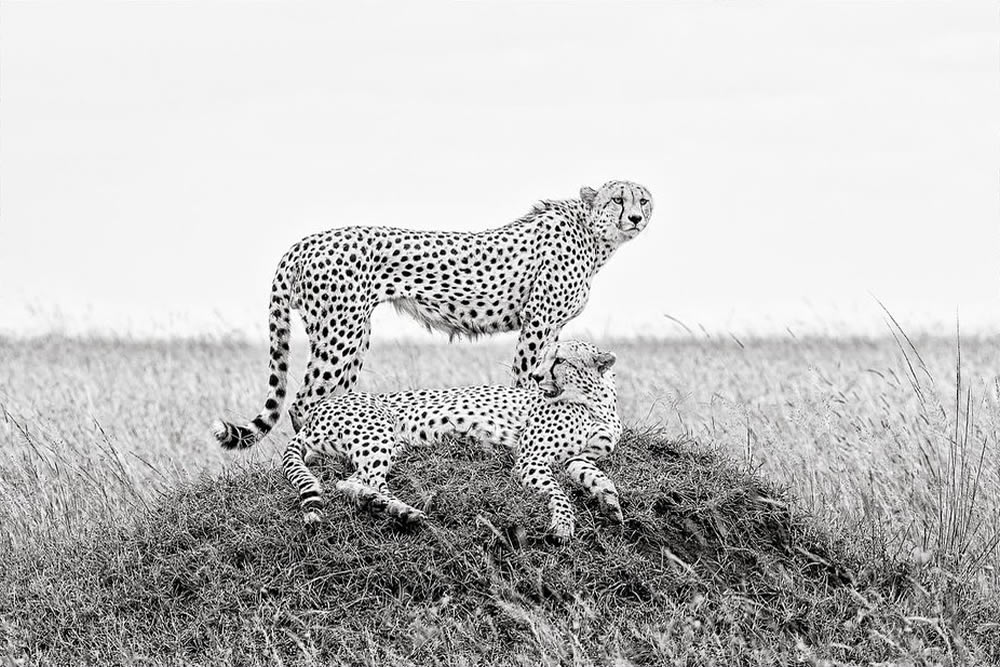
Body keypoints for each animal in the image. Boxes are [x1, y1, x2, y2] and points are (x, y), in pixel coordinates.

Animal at [212, 342, 620, 540]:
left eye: (560, 359)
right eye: (549, 357)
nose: (535, 376)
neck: (594, 400)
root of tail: (316, 413)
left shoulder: (579, 458)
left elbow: (601, 478)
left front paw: (611, 505)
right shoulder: (531, 458)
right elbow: (560, 494)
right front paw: (564, 525)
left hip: (385, 444)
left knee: (353, 482)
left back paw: (392, 508)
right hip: (379, 432)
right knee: (357, 481)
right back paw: (401, 510)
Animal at [215, 181, 652, 444]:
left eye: (643, 199)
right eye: (618, 199)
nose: (635, 217)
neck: (593, 234)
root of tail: (307, 240)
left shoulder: (553, 326)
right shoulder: (539, 322)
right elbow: (528, 376)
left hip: (354, 333)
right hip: (340, 332)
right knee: (304, 400)